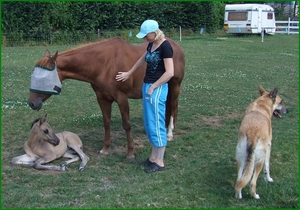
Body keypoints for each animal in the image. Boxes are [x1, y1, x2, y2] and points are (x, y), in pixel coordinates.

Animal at [28, 37, 184, 159]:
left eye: (42, 79)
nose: (31, 103)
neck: (104, 64)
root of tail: (176, 46)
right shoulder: (102, 99)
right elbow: (107, 122)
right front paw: (105, 149)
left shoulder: (122, 98)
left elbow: (126, 125)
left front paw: (130, 153)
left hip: (174, 85)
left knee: (173, 105)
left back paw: (169, 133)